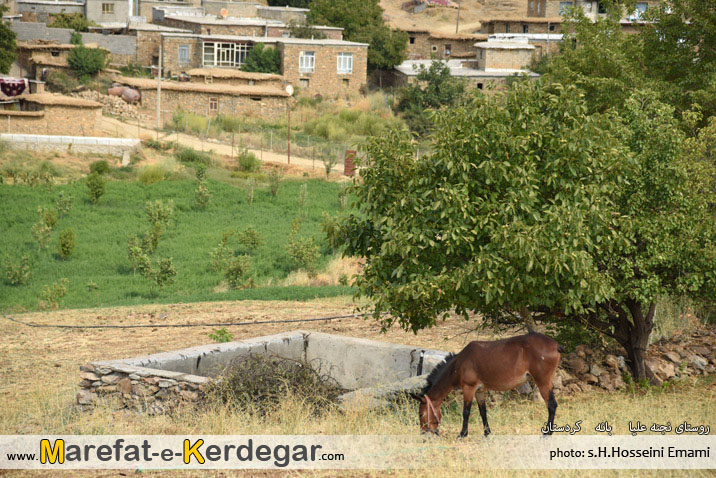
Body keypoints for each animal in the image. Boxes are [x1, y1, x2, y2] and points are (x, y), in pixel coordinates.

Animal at [412, 332, 564, 436]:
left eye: (421, 415)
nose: (424, 433)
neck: (459, 364)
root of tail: (556, 345)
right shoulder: (480, 390)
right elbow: (482, 411)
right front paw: (487, 432)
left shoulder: (469, 388)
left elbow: (466, 412)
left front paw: (462, 434)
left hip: (542, 382)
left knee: (551, 405)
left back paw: (547, 434)